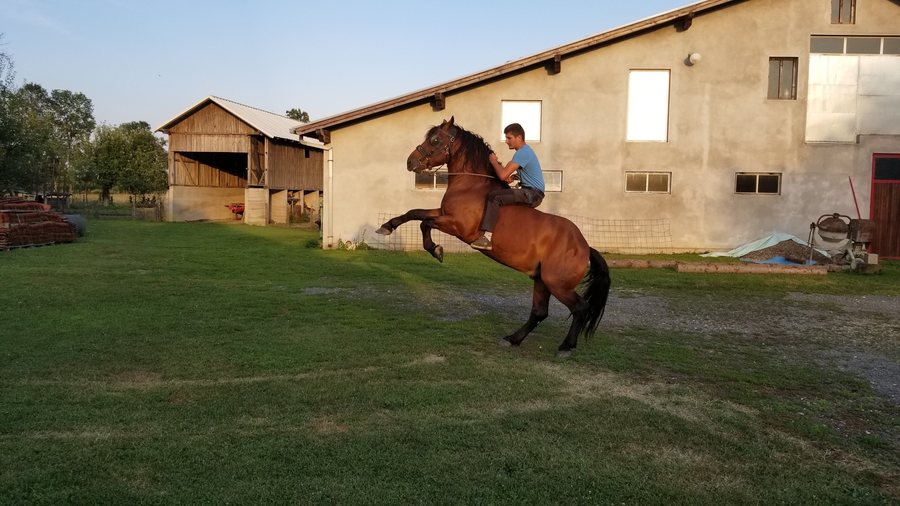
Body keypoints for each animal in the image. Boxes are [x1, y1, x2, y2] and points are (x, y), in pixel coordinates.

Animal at [376, 117, 610, 356]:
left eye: (435, 140)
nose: (410, 162)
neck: (471, 185)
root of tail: (585, 247)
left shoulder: (458, 226)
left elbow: (425, 223)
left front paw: (436, 250)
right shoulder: (442, 213)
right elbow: (414, 213)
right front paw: (387, 227)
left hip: (557, 284)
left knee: (580, 308)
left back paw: (566, 346)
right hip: (541, 281)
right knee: (539, 312)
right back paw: (513, 338)